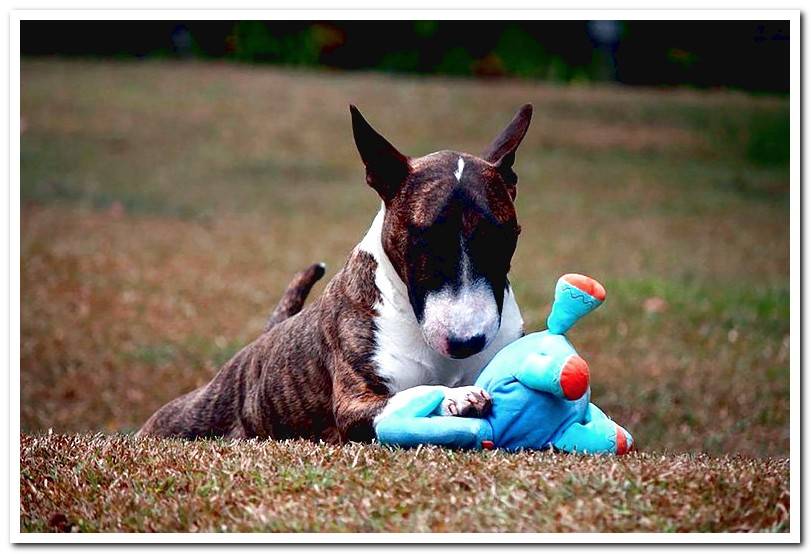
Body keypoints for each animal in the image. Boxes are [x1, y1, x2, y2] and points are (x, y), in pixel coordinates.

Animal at [140, 102, 532, 440]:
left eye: (502, 238)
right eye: (424, 240)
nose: (466, 342)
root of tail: (257, 345)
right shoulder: (353, 403)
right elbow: (409, 396)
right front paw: (458, 397)